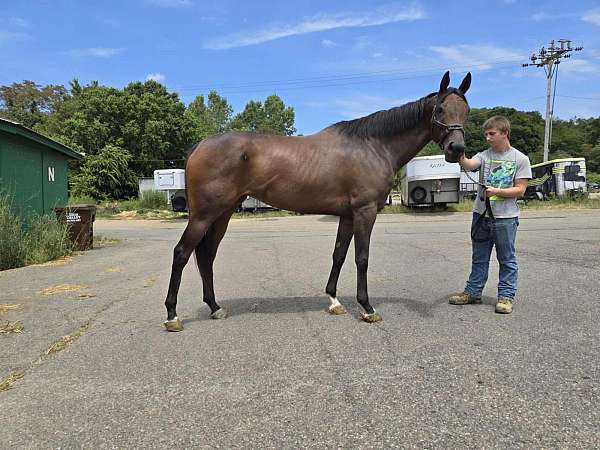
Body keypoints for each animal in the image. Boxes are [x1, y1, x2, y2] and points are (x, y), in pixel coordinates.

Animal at [163, 71, 468, 330]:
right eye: (440, 110)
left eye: (465, 110)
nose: (457, 149)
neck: (372, 146)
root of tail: (200, 146)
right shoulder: (365, 212)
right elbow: (362, 258)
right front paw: (367, 308)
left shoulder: (347, 215)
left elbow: (339, 255)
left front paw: (334, 301)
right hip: (203, 215)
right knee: (181, 253)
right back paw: (172, 316)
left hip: (223, 213)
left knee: (206, 256)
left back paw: (215, 307)